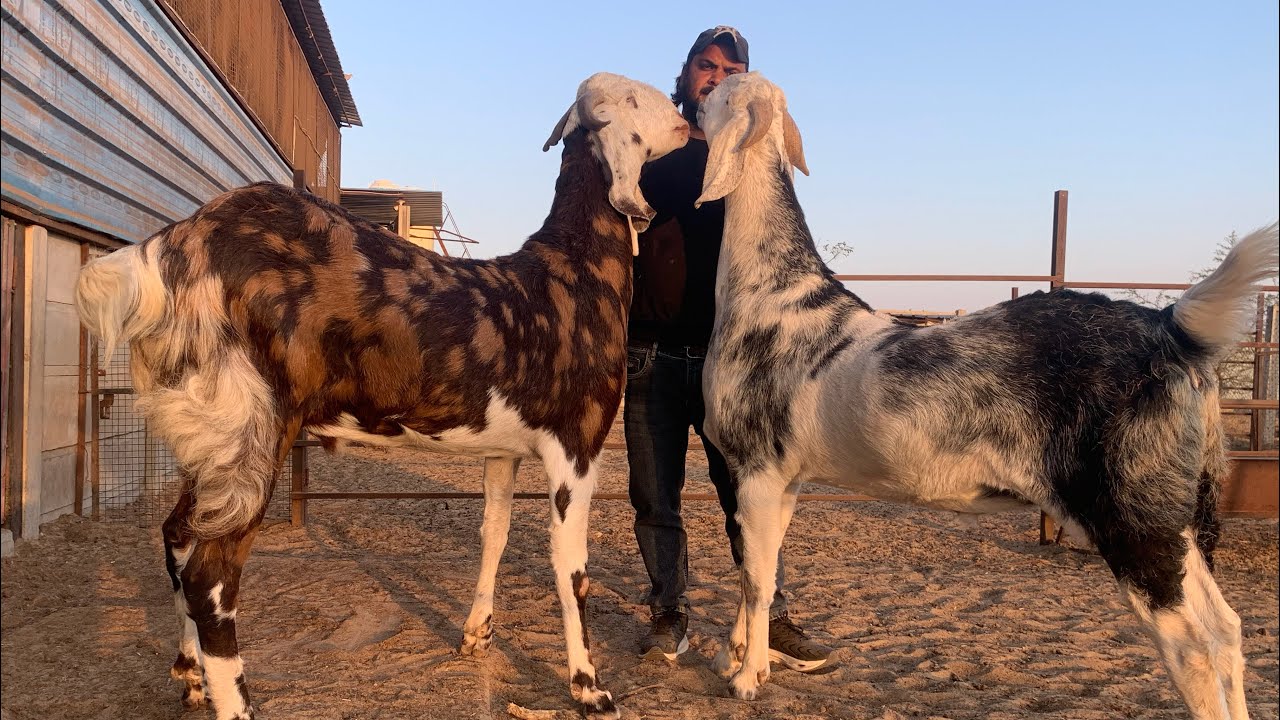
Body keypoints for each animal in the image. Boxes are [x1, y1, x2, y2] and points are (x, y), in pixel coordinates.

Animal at [74, 72, 689, 720]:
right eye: (634, 100)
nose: (684, 121)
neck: (570, 273)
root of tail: (174, 248)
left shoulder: (504, 450)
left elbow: (493, 532)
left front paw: (477, 633)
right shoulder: (577, 444)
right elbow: (571, 570)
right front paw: (590, 687)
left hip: (207, 434)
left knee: (177, 535)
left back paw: (190, 676)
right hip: (252, 428)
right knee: (210, 577)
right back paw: (234, 701)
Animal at [693, 71, 1277, 720]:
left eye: (718, 90)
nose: (688, 101)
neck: (773, 292)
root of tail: (1169, 328)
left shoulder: (755, 468)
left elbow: (755, 577)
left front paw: (747, 677)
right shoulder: (787, 478)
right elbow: (759, 563)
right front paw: (733, 657)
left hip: (1132, 515)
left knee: (1192, 646)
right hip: (1180, 517)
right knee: (1225, 630)